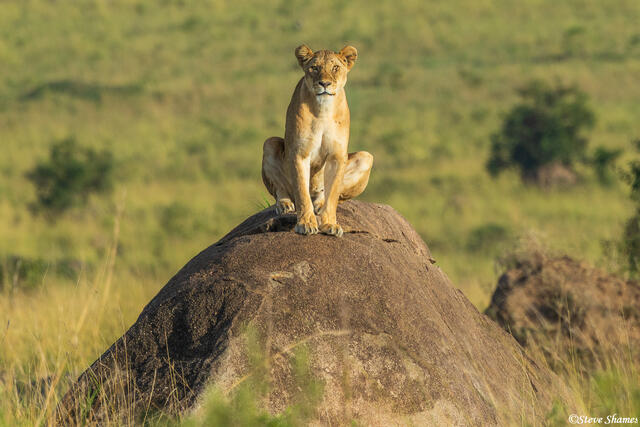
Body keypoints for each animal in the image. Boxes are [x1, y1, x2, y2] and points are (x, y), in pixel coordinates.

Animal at [261, 44, 373, 237]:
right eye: (314, 68)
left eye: (335, 68)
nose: (325, 84)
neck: (324, 109)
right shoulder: (299, 153)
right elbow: (302, 193)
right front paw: (306, 223)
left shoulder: (337, 157)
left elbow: (333, 195)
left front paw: (329, 224)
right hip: (269, 143)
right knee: (282, 190)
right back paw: (285, 204)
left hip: (366, 157)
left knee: (327, 195)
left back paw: (319, 204)